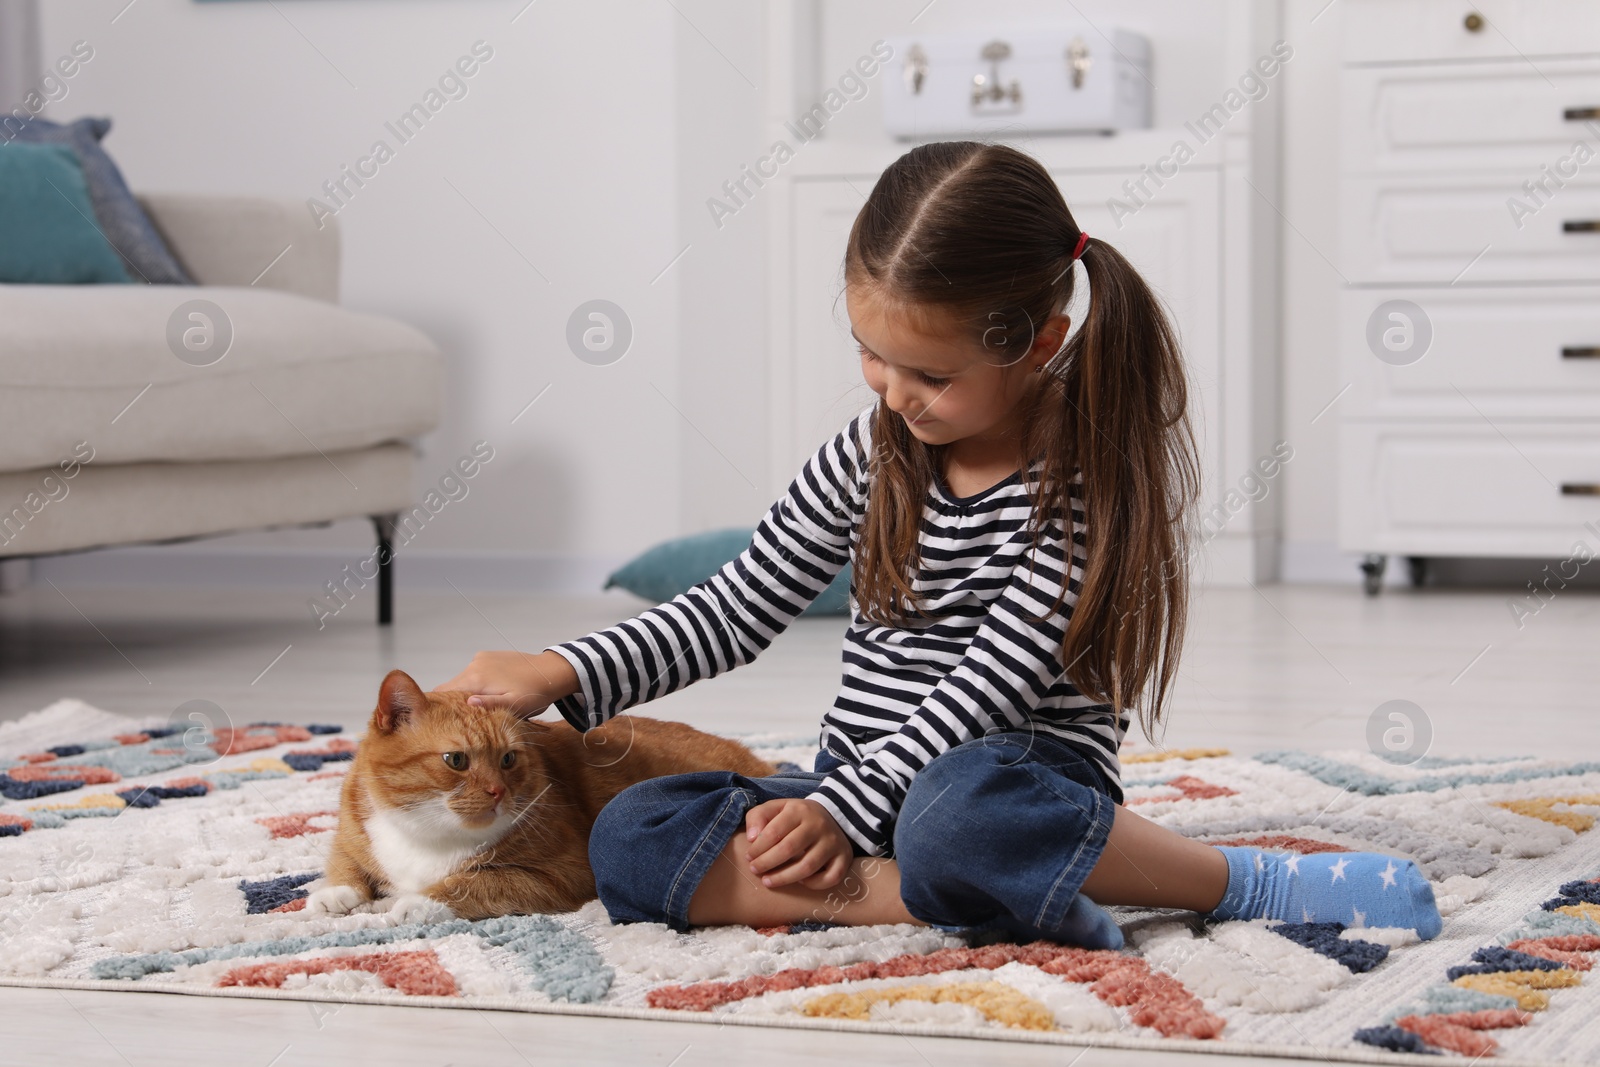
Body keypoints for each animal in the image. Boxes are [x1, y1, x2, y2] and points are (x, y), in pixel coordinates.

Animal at [304, 671, 774, 921]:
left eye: (509, 759)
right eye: (456, 760)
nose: (497, 791)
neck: (427, 831)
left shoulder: (562, 873)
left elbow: (474, 881)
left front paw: (415, 901)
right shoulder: (353, 827)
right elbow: (345, 861)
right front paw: (335, 892)